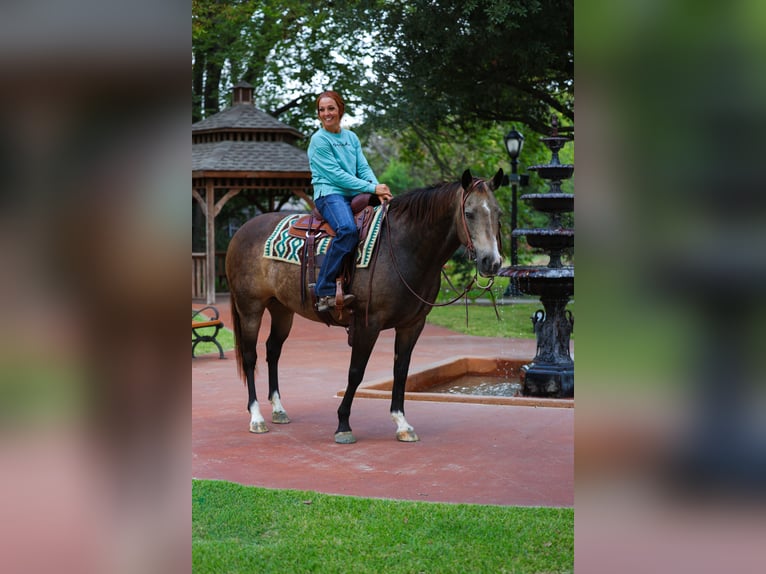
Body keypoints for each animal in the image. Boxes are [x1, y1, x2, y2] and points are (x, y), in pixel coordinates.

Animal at [226, 168, 504, 443]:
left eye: (498, 212)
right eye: (468, 213)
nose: (492, 262)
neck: (403, 247)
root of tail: (241, 231)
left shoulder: (412, 325)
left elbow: (401, 370)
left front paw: (402, 423)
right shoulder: (367, 324)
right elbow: (356, 372)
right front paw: (343, 425)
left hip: (282, 309)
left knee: (273, 350)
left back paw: (278, 409)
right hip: (250, 309)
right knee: (250, 356)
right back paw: (256, 417)